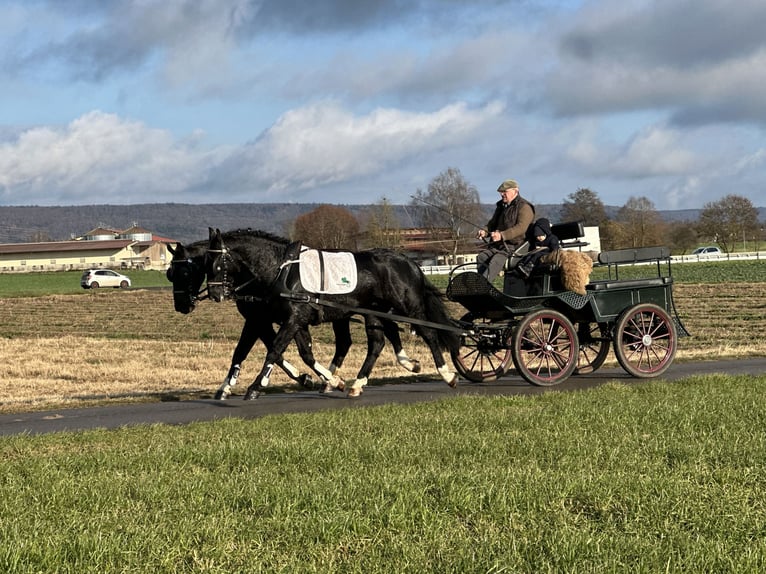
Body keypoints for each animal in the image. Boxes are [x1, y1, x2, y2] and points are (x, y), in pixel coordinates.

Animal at [204, 228, 462, 400]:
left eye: (217, 263)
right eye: (205, 263)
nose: (215, 294)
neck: (282, 270)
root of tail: (410, 263)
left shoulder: (292, 318)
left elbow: (275, 351)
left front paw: (256, 386)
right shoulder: (283, 320)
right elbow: (298, 353)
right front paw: (328, 379)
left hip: (407, 306)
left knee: (429, 334)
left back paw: (447, 374)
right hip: (374, 311)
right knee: (376, 342)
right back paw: (359, 382)